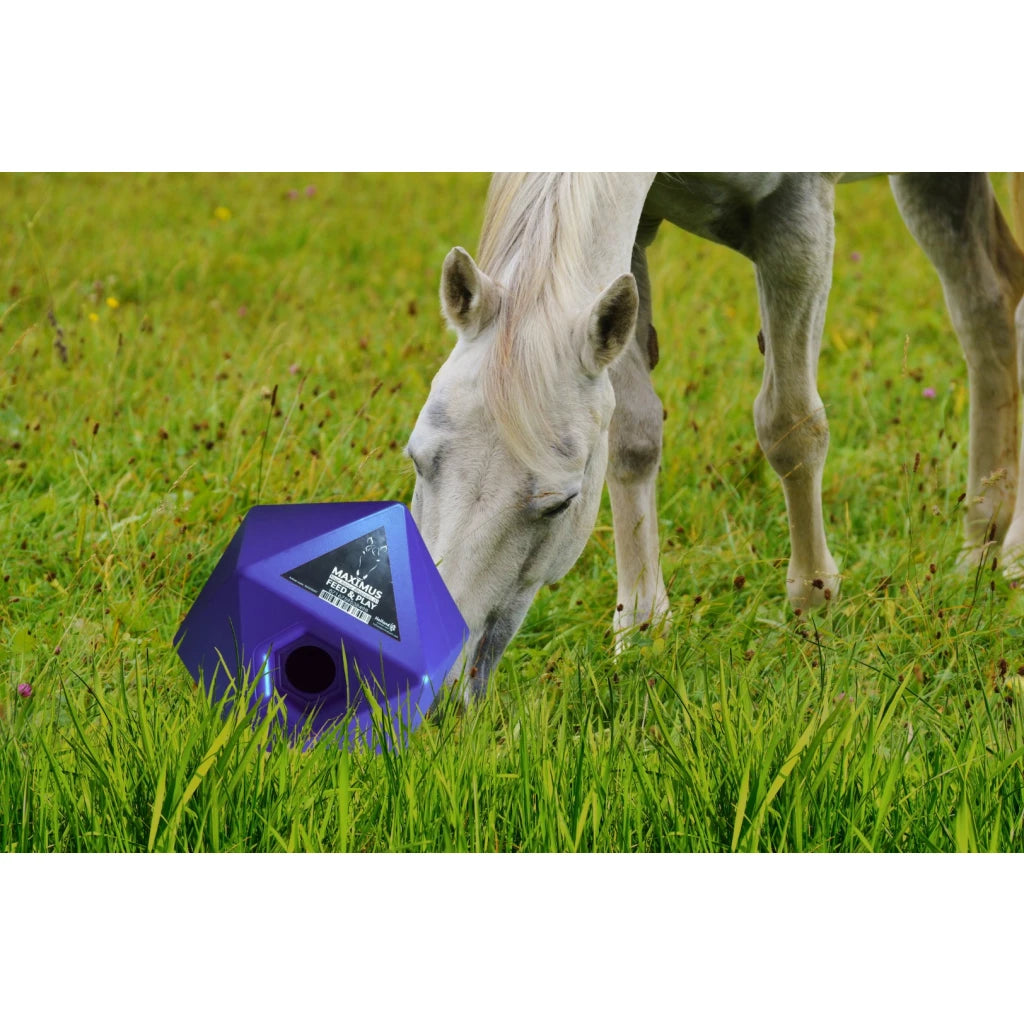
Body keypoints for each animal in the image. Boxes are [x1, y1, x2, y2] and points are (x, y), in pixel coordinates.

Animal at [406, 173, 1024, 701]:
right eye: (417, 461)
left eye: (561, 505)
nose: (433, 686)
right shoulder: (633, 239)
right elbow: (632, 436)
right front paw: (642, 631)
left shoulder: (796, 219)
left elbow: (790, 425)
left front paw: (814, 608)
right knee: (987, 309)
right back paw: (980, 544)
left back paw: (1013, 556)